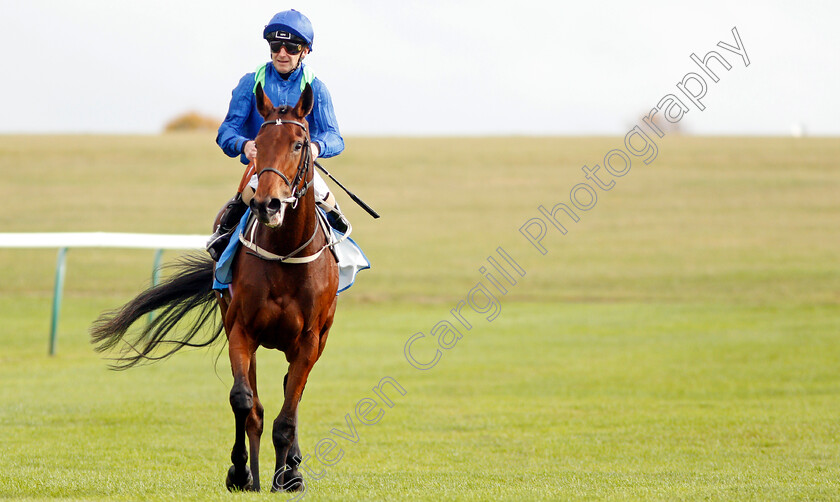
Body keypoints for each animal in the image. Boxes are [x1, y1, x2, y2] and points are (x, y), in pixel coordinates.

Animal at [91, 83, 338, 494]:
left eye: (299, 143)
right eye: (258, 143)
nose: (268, 204)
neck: (285, 251)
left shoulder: (308, 340)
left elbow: (288, 414)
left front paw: (285, 477)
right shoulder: (241, 328)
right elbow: (244, 401)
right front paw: (241, 472)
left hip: (318, 339)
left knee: (292, 393)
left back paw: (290, 469)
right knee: (258, 404)